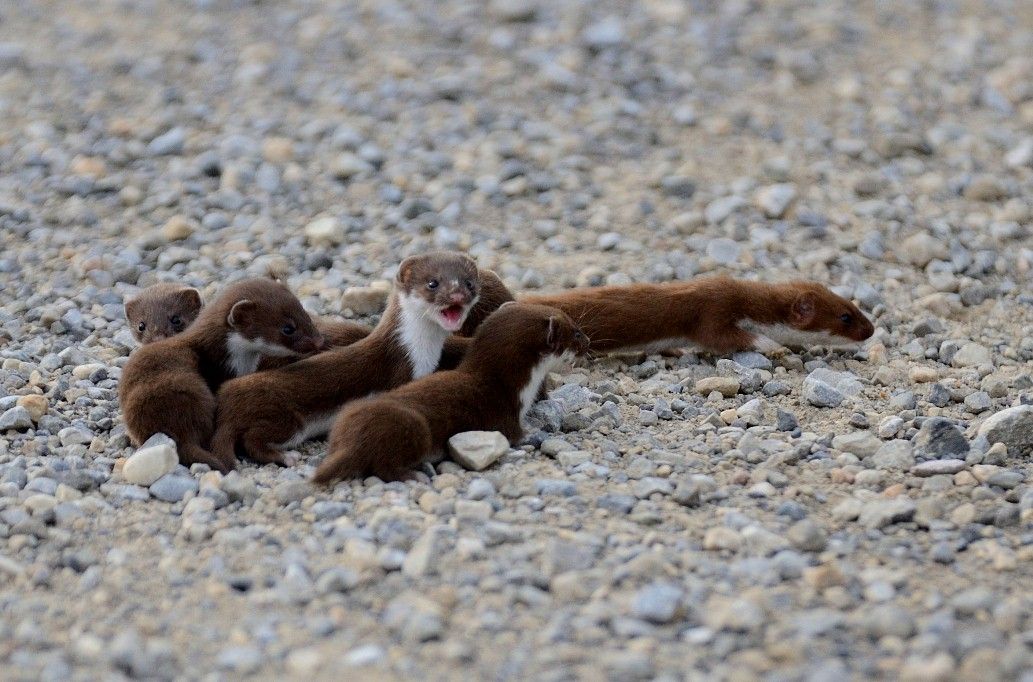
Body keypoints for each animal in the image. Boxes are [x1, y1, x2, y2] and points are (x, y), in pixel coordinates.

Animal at [212, 250, 483, 469]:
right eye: (432, 283)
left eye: (469, 283)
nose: (457, 295)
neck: (423, 351)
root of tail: (230, 406)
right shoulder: (402, 372)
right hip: (287, 421)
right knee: (252, 440)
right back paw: (286, 457)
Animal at [311, 303, 590, 485]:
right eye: (575, 331)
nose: (588, 342)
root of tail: (352, 439)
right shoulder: (505, 416)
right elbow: (517, 435)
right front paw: (535, 432)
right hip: (414, 427)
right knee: (383, 466)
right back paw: (411, 474)